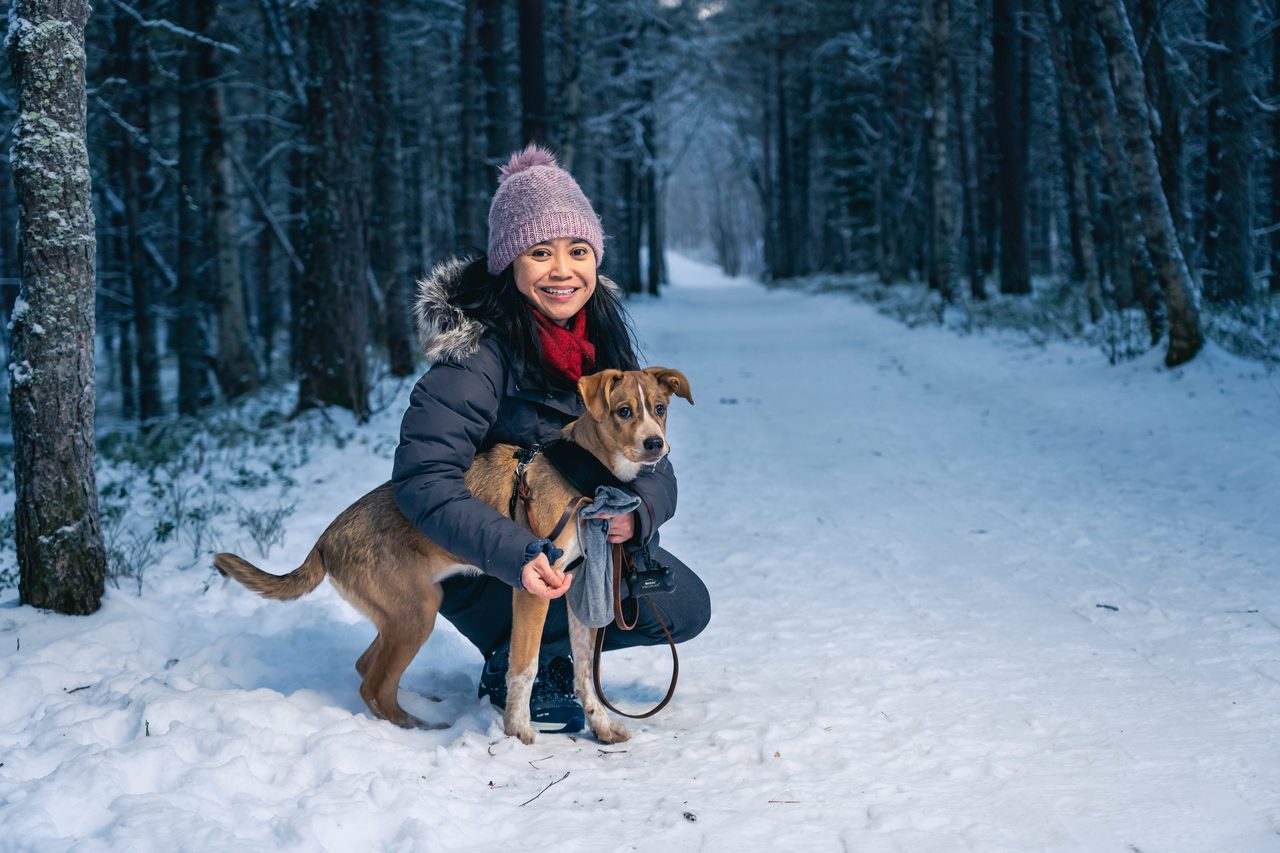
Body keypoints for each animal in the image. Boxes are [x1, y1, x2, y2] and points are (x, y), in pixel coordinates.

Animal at [212, 366, 691, 742]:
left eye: (660, 409)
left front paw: (602, 726)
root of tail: (327, 537)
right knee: (375, 685)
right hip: (417, 613)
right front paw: (518, 730)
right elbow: (524, 666)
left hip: (401, 613)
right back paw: (417, 728)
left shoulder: (579, 591)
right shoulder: (535, 588)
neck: (584, 475)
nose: (655, 445)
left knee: (367, 667)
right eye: (623, 411)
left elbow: (585, 675)